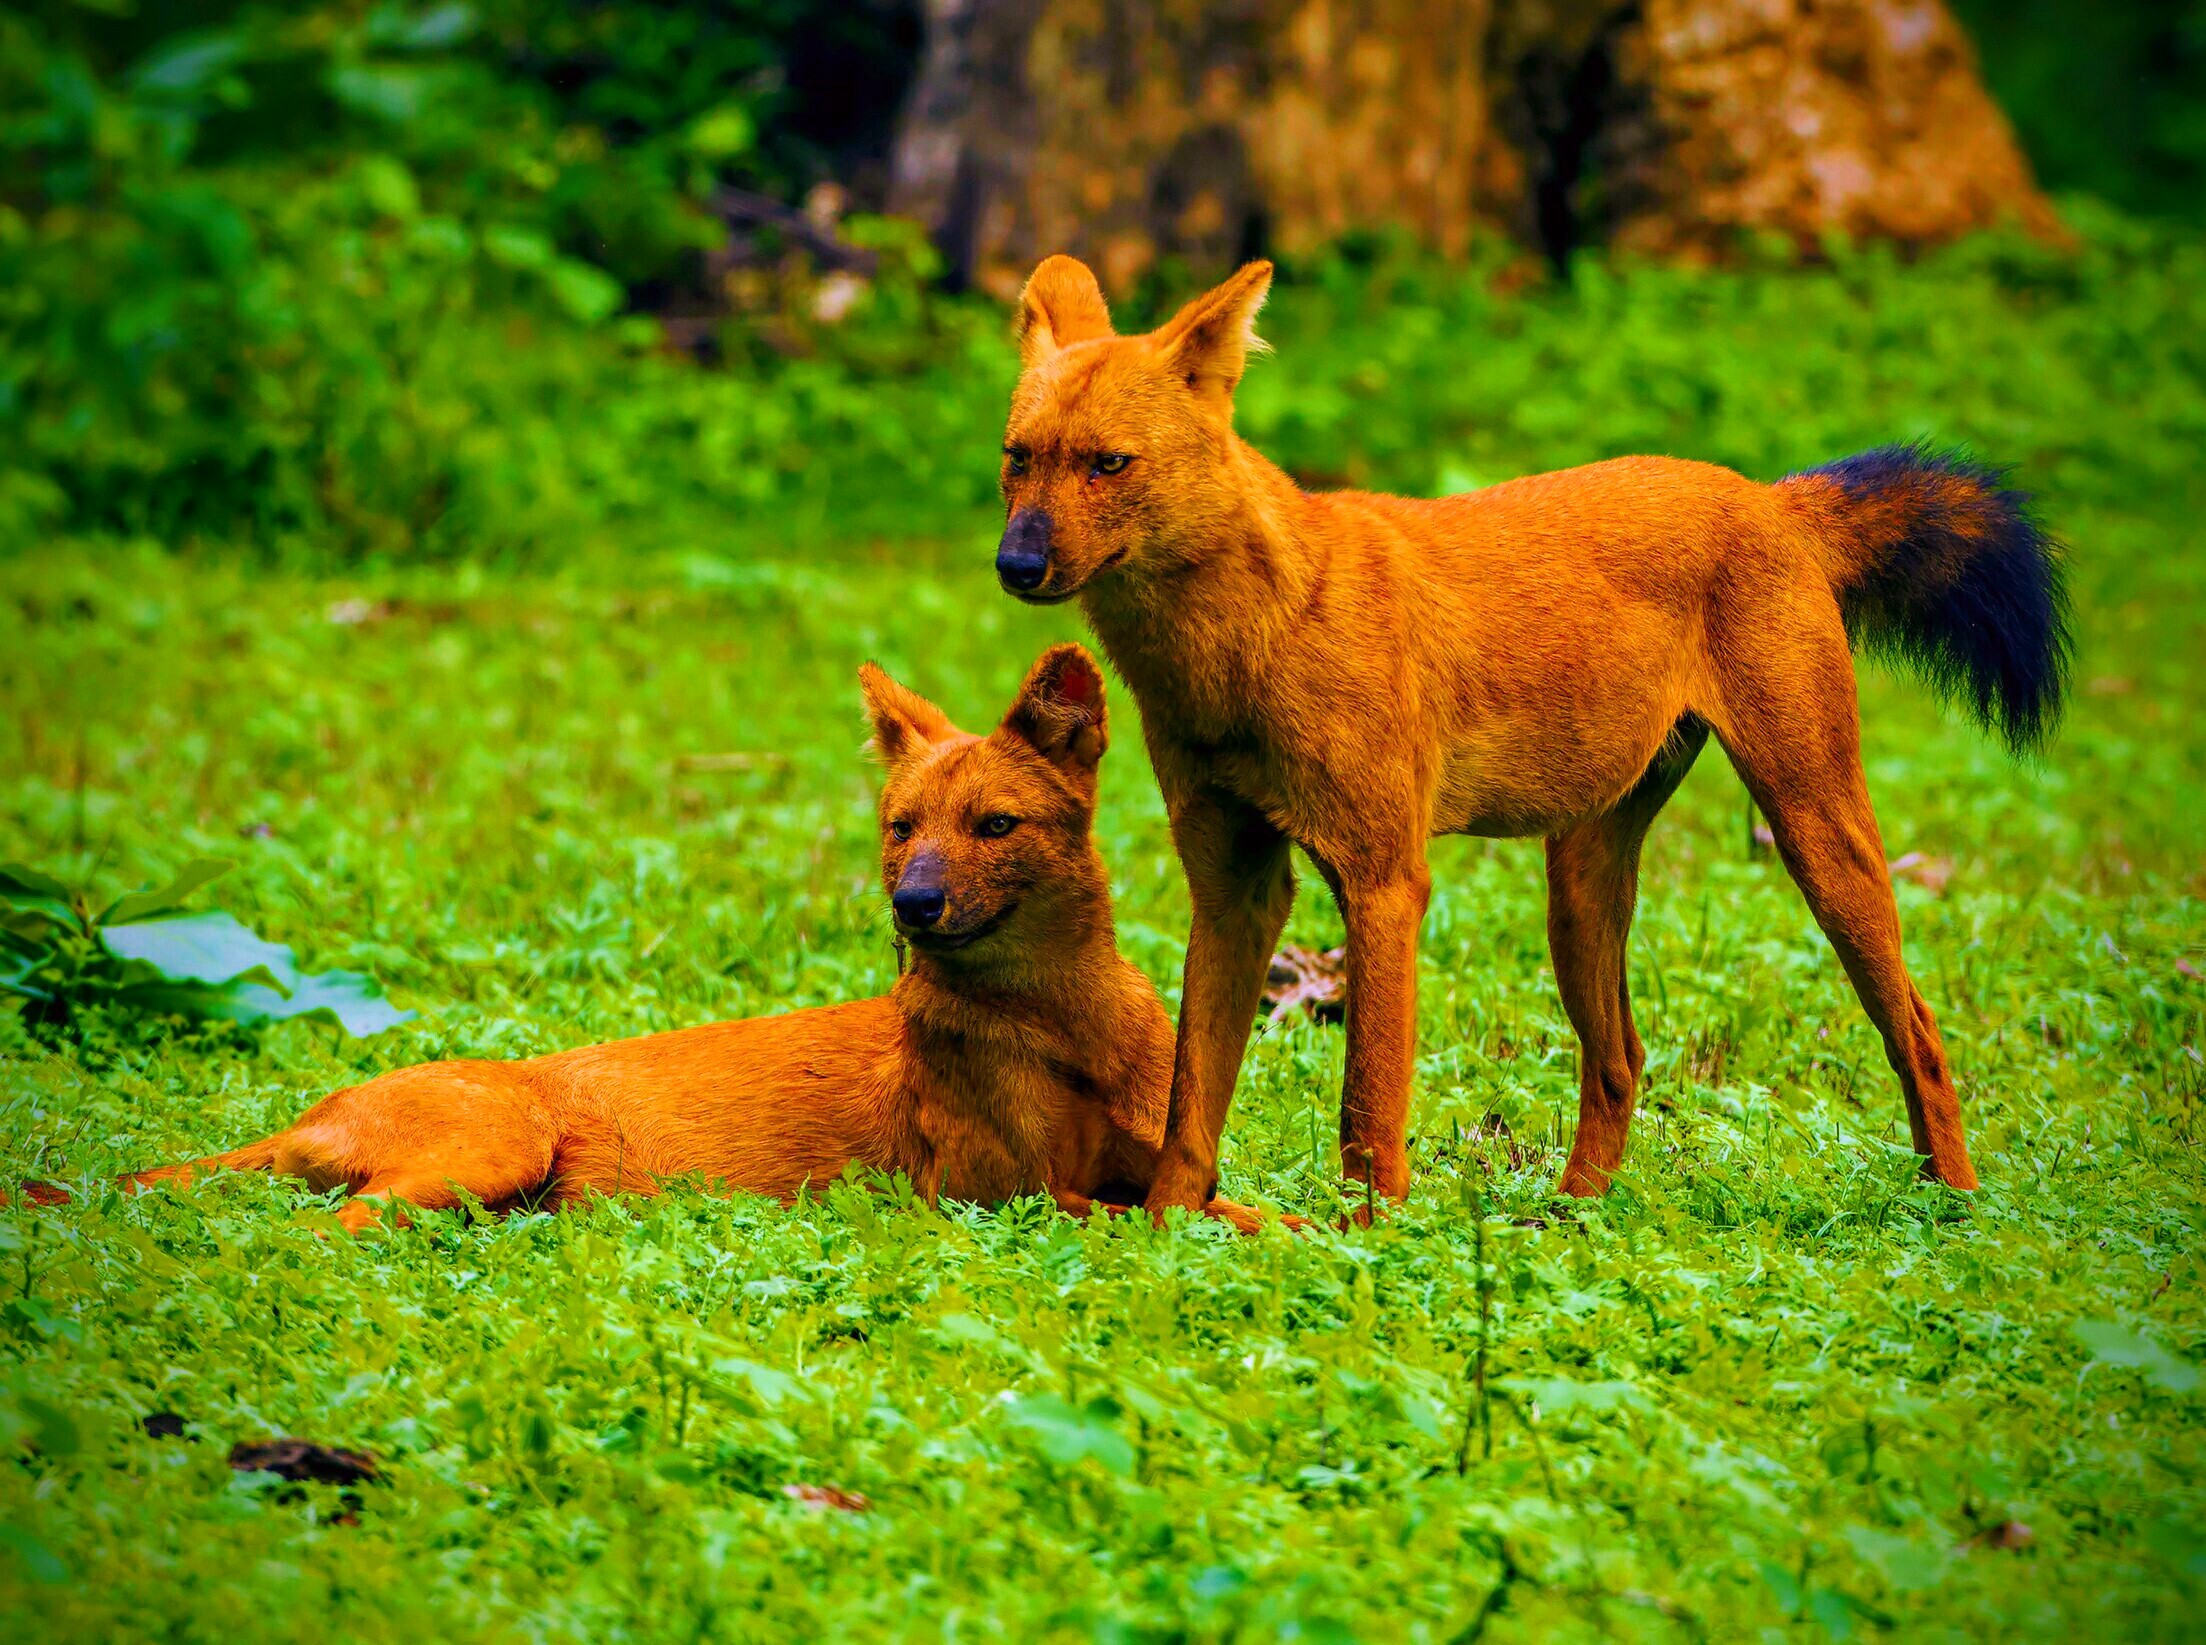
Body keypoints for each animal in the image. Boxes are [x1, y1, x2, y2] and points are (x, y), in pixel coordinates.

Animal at [43, 639, 1288, 1234]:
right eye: (900, 828)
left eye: (993, 824)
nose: (914, 905)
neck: (1060, 1022)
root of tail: (316, 1109)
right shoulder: (993, 1194)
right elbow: (1150, 1225)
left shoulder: (1147, 1163)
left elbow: (1227, 1209)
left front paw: (1310, 1226)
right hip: (494, 1142)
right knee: (330, 1224)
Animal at [997, 253, 2064, 1208]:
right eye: (1018, 458)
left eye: (1107, 463)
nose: (1016, 563)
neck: (1241, 648)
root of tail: (1770, 495)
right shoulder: (1232, 885)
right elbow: (1191, 1103)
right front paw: (1168, 1234)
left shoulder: (1385, 878)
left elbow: (1367, 1104)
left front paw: (1367, 1238)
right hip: (1581, 880)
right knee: (1623, 1057)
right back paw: (1567, 1217)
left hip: (1815, 828)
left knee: (1918, 1030)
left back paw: (1953, 1209)